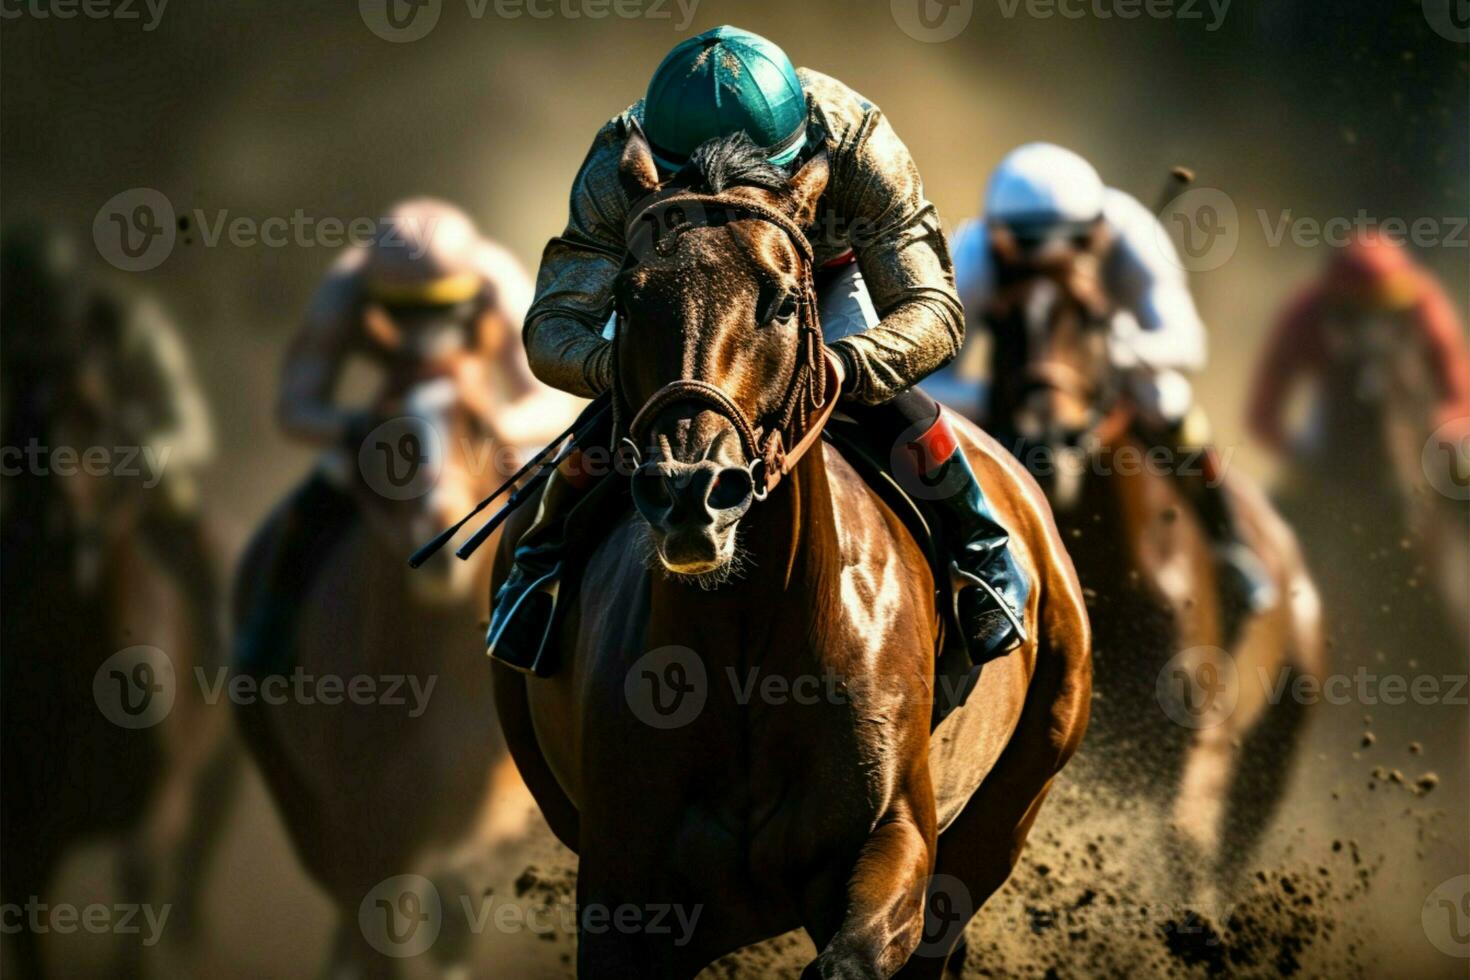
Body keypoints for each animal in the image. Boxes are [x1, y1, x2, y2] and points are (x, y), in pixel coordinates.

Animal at [488, 132, 1087, 980]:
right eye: (630, 300)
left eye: (779, 302)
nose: (692, 490)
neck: (750, 642)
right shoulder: (620, 890)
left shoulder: (895, 840)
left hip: (1018, 789)